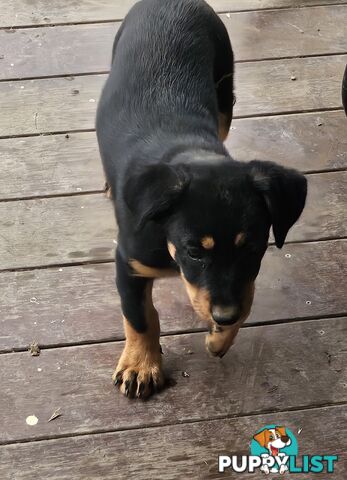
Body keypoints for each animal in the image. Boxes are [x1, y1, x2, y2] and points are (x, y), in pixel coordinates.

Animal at [96, 0, 308, 398]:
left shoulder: (240, 283)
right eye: (194, 251)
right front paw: (141, 366)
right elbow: (139, 316)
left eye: (252, 247)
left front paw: (220, 337)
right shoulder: (128, 261)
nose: (222, 317)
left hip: (224, 92)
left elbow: (245, 297)